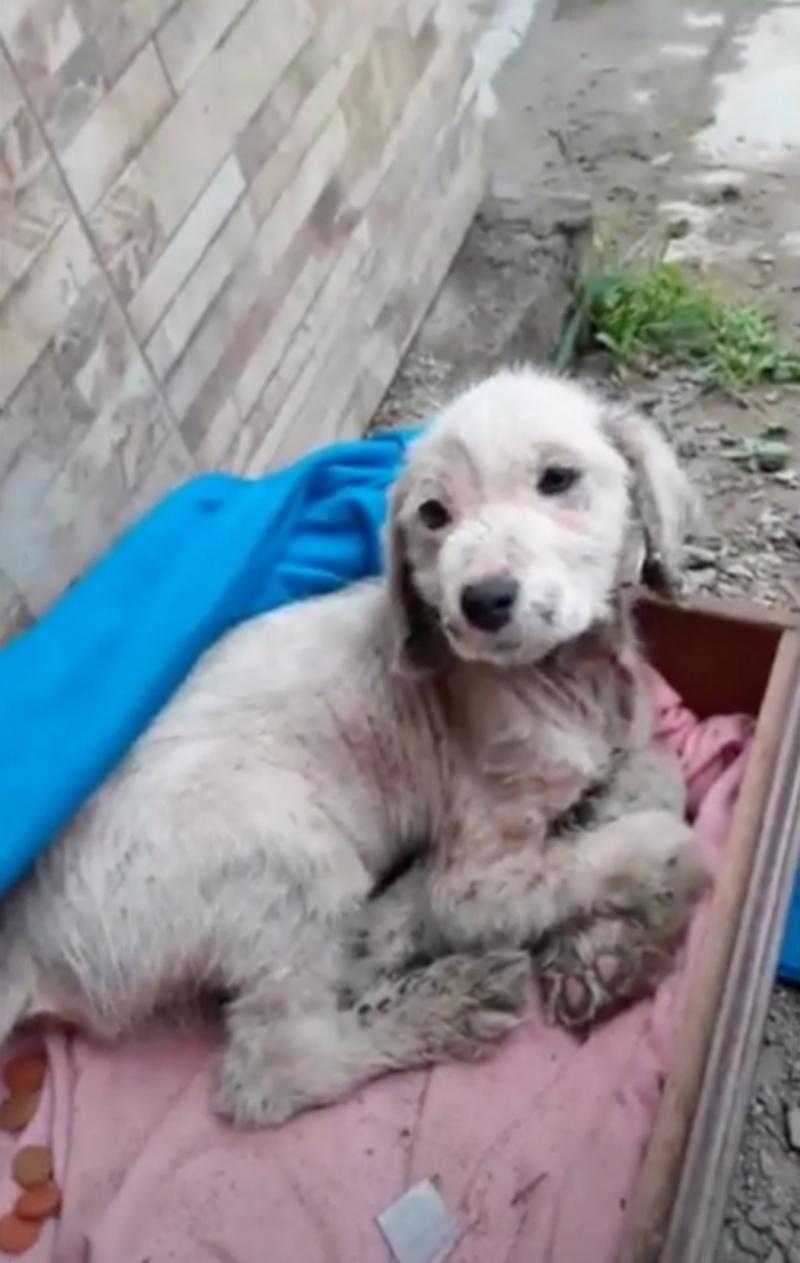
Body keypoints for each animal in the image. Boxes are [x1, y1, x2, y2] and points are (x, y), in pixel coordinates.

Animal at [0, 366, 702, 1126]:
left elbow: (657, 768)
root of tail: (25, 943)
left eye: (558, 478)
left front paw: (605, 947)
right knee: (274, 1067)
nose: (481, 602)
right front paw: (656, 855)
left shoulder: (622, 739)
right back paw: (445, 1004)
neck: (561, 676)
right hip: (290, 853)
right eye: (433, 515)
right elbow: (587, 861)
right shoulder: (480, 875)